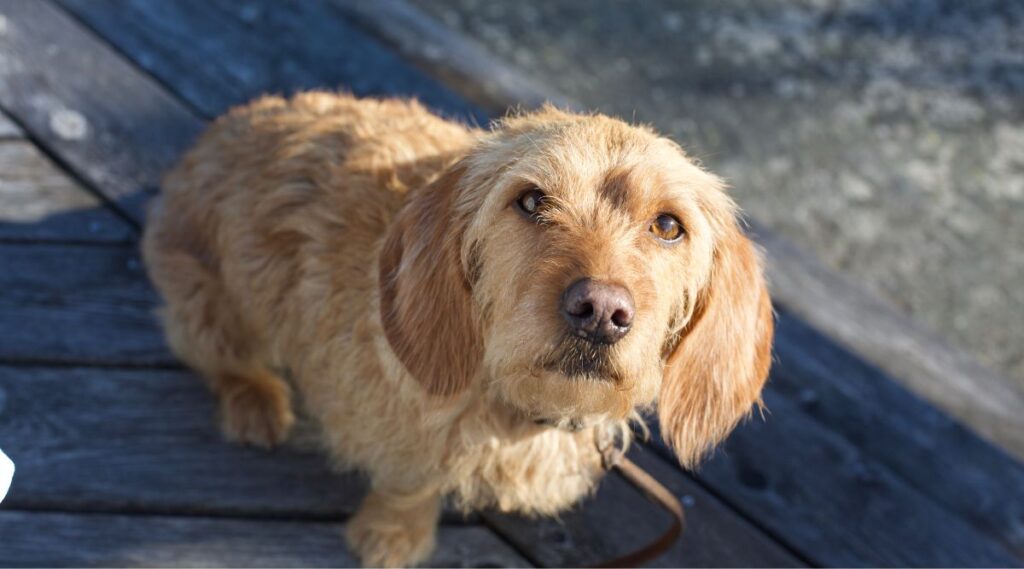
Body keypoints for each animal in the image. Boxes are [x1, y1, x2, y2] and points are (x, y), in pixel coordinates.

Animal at [140, 91, 770, 564]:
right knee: (222, 354)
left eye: (668, 225)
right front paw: (393, 535)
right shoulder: (396, 426)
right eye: (531, 200)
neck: (516, 405)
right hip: (203, 302)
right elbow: (412, 477)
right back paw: (254, 400)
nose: (600, 311)